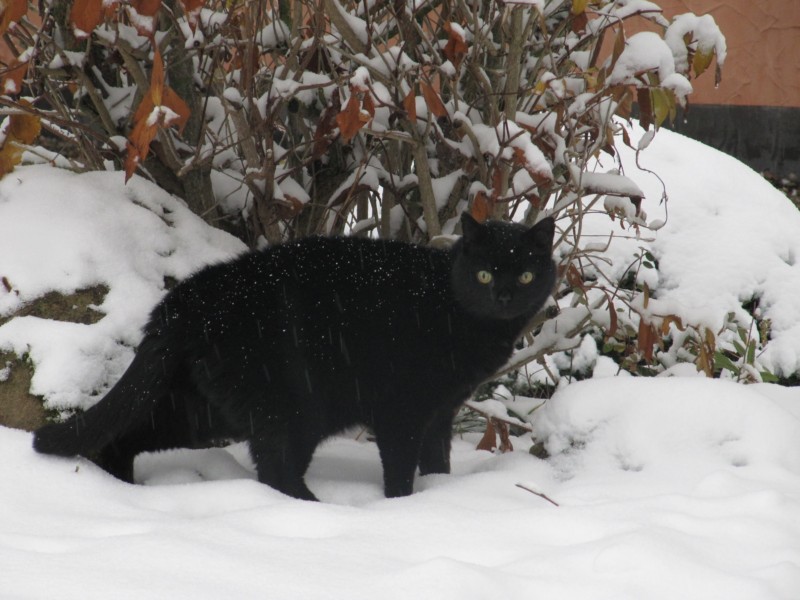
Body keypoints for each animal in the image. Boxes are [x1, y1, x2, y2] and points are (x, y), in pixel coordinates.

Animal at [32, 213, 556, 500]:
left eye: (526, 275)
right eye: (485, 274)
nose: (505, 295)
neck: (453, 308)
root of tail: (187, 296)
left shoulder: (440, 411)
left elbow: (437, 462)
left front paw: (442, 499)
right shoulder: (401, 410)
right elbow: (399, 468)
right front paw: (401, 510)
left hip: (206, 409)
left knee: (124, 438)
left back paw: (125, 492)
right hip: (291, 410)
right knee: (276, 471)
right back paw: (316, 512)